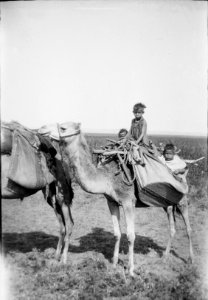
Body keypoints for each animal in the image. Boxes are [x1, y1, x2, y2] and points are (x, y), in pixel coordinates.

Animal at [0, 122, 73, 262]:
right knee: (62, 226)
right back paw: (56, 255)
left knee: (69, 224)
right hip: (51, 196)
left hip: (61, 194)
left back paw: (64, 260)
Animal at [38, 122, 193, 276]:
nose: (41, 129)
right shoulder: (111, 202)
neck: (107, 178)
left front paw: (131, 270)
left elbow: (130, 235)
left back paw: (190, 259)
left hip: (182, 199)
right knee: (172, 227)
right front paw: (113, 264)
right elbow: (117, 234)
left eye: (63, 127)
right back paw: (165, 256)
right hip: (168, 204)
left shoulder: (128, 201)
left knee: (188, 228)